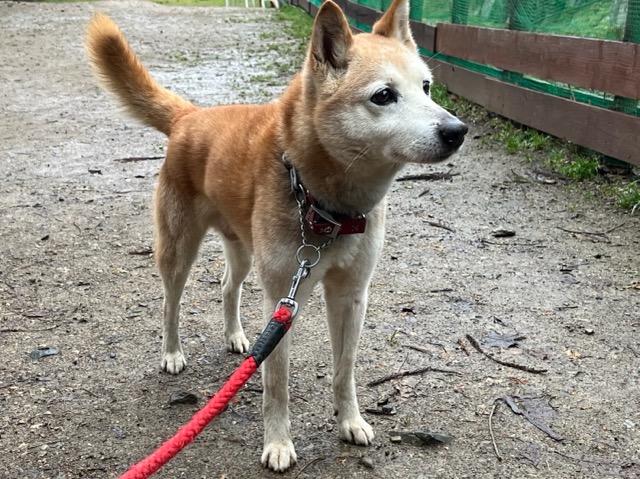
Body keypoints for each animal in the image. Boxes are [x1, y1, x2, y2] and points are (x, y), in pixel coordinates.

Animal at [86, 0, 466, 471]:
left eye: (427, 87)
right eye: (383, 95)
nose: (457, 131)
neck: (326, 205)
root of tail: (190, 116)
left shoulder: (350, 296)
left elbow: (344, 370)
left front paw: (350, 421)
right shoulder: (283, 298)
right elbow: (276, 384)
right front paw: (279, 444)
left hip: (244, 252)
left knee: (227, 287)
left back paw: (235, 336)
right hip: (179, 251)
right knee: (170, 304)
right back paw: (172, 354)